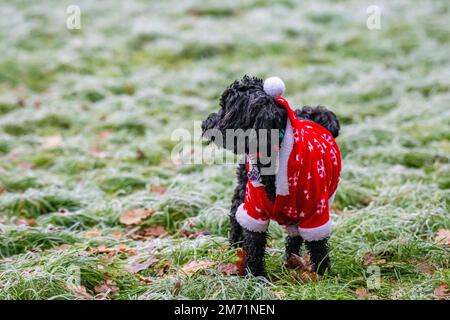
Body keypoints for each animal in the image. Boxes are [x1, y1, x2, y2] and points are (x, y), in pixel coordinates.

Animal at [201, 75, 342, 278]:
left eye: (225, 108)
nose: (204, 123)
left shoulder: (315, 212)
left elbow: (318, 246)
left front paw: (324, 275)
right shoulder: (254, 208)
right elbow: (254, 243)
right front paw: (255, 276)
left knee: (294, 236)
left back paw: (290, 261)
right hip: (241, 193)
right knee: (236, 223)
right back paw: (235, 252)